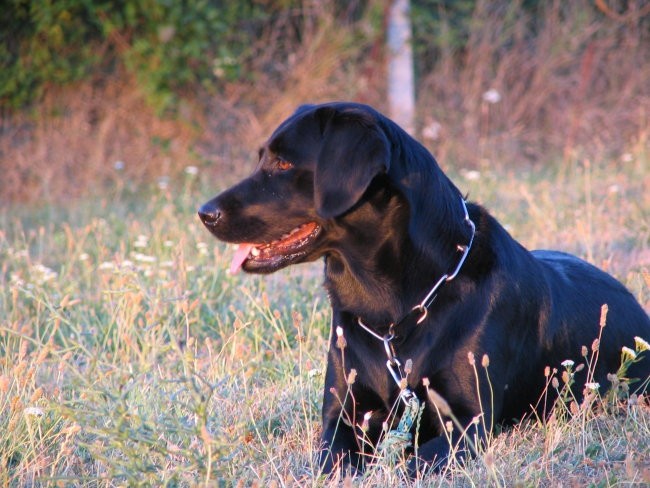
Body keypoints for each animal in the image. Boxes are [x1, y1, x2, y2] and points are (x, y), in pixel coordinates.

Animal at [199, 102, 648, 472]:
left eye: (283, 164)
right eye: (264, 158)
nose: (205, 213)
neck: (392, 310)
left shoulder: (469, 424)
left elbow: (412, 464)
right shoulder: (340, 416)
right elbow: (333, 461)